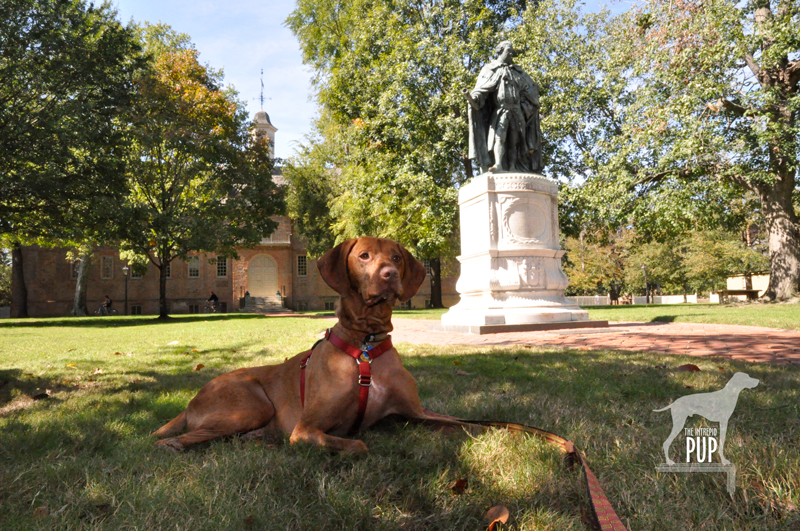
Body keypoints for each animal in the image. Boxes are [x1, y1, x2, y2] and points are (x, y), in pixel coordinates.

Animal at [153, 237, 454, 454]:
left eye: (396, 258)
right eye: (364, 255)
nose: (390, 274)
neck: (365, 345)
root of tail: (193, 400)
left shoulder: (415, 414)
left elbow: (461, 426)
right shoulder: (305, 429)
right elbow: (359, 445)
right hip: (251, 404)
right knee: (171, 439)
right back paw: (172, 444)